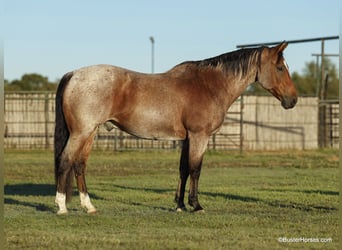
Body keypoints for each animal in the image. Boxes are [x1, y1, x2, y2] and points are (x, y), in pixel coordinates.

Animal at [53, 42, 296, 214]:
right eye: (280, 68)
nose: (292, 100)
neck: (209, 85)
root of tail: (73, 74)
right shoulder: (199, 137)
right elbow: (196, 169)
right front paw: (196, 205)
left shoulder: (187, 139)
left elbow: (183, 169)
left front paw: (179, 205)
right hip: (81, 133)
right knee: (65, 161)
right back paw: (62, 206)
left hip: (90, 133)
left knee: (79, 165)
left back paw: (89, 207)